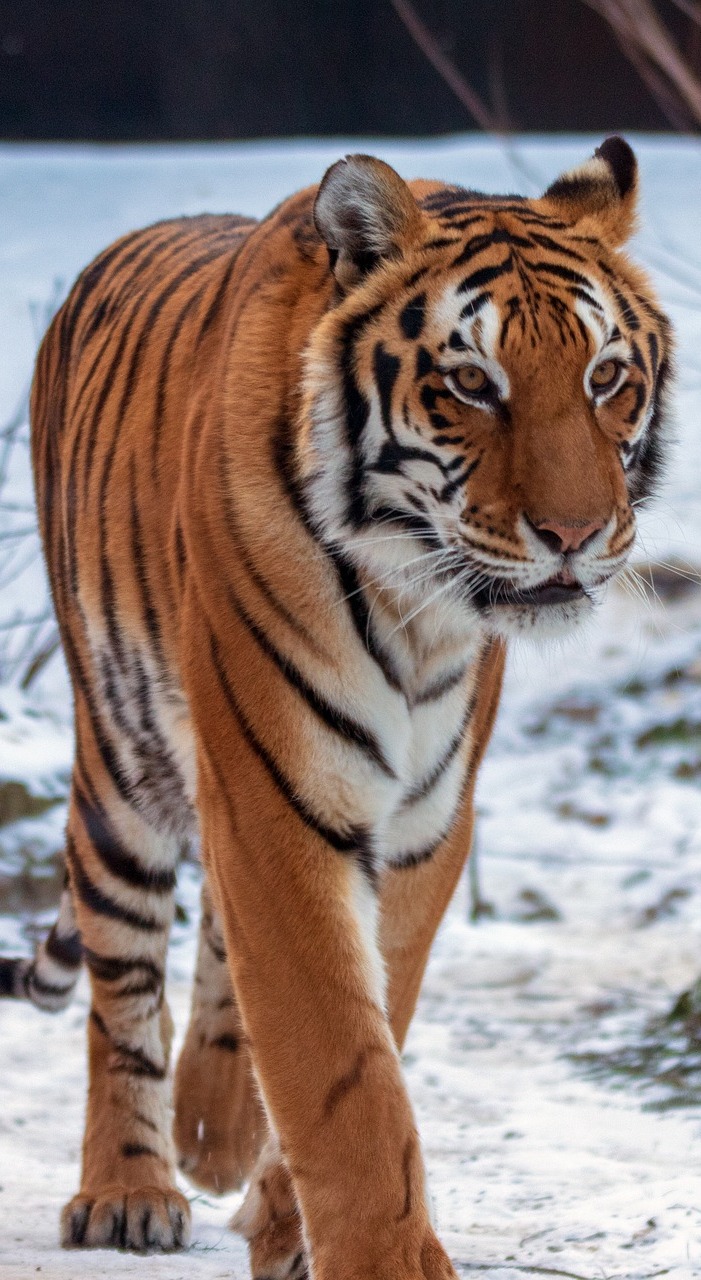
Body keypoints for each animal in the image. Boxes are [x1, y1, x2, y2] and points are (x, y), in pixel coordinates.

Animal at [1, 135, 675, 1274]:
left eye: (604, 377)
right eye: (470, 382)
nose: (577, 536)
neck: (416, 605)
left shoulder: (421, 821)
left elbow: (368, 1023)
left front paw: (282, 1219)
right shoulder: (279, 797)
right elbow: (341, 1069)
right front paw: (381, 1256)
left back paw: (212, 1132)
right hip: (123, 767)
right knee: (120, 981)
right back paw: (129, 1187)